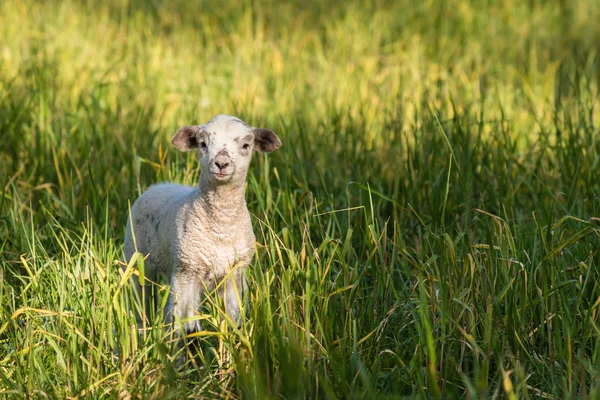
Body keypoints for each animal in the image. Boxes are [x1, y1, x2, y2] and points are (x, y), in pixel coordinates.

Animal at [123, 114, 282, 332]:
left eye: (246, 145)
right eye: (203, 143)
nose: (221, 163)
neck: (221, 228)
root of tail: (157, 186)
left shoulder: (235, 276)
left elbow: (233, 323)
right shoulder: (187, 273)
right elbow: (187, 329)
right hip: (137, 262)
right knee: (139, 306)